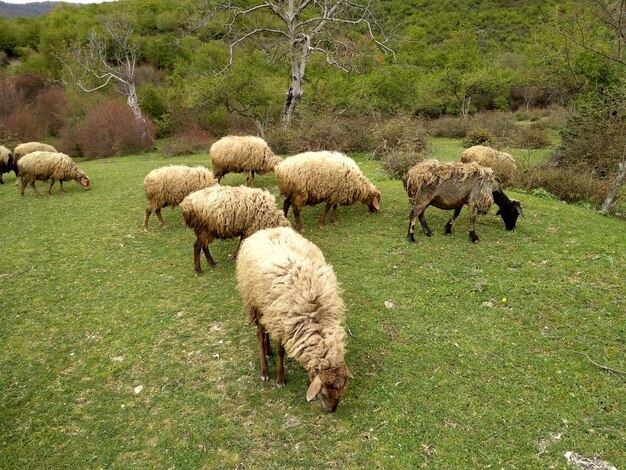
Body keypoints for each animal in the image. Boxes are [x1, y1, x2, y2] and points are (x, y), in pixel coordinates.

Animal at [234, 226, 352, 414]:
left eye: (341, 391)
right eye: (324, 393)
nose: (330, 411)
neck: (315, 315)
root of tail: (266, 230)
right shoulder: (284, 324)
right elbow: (281, 351)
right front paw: (280, 379)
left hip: (268, 309)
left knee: (265, 331)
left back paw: (268, 351)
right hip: (255, 302)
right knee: (260, 334)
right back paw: (264, 370)